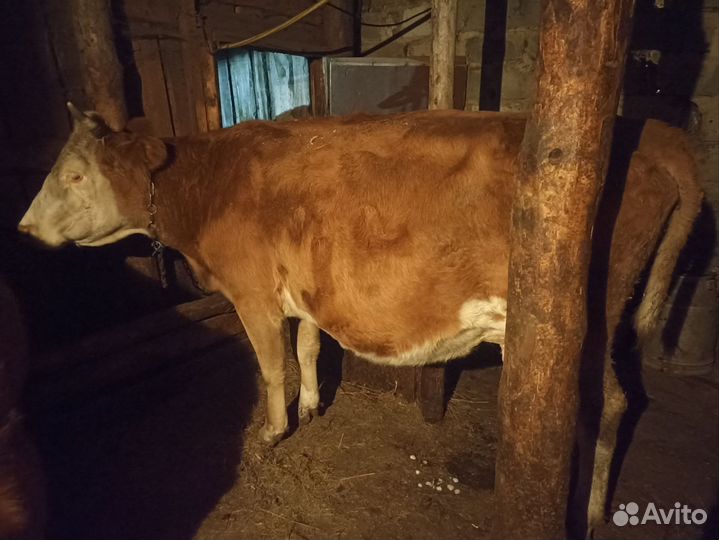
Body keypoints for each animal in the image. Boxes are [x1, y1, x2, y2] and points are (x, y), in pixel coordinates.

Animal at [18, 103, 702, 532]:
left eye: (73, 174)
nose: (22, 226)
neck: (210, 184)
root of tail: (653, 133)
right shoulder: (307, 291)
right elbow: (308, 350)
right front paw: (313, 405)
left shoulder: (252, 292)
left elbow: (271, 366)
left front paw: (273, 432)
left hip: (584, 324)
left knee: (609, 405)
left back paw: (589, 509)